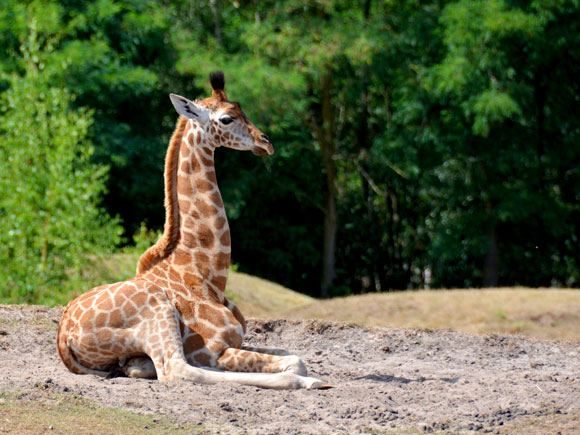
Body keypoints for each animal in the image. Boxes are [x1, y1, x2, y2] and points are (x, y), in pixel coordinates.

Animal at [57, 71, 330, 392]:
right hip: (158, 310)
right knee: (178, 369)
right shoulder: (213, 350)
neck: (208, 274)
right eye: (226, 118)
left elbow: (294, 354)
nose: (265, 142)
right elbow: (295, 361)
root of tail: (64, 338)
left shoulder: (240, 339)